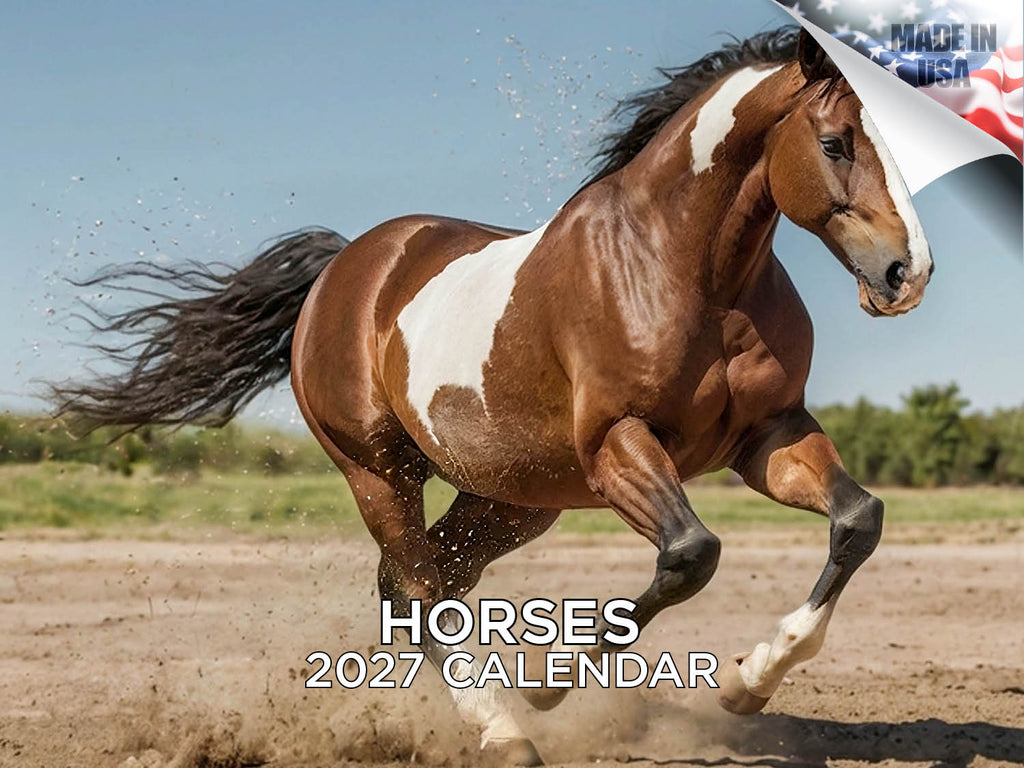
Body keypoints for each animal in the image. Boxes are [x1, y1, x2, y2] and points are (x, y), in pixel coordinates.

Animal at [51, 27, 932, 766]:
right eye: (834, 142)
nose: (907, 274)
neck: (689, 272)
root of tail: (343, 267)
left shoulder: (768, 436)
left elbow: (858, 521)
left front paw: (748, 683)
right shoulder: (617, 445)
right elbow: (692, 554)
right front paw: (548, 686)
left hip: (511, 500)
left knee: (420, 583)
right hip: (380, 471)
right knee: (414, 586)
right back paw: (506, 729)